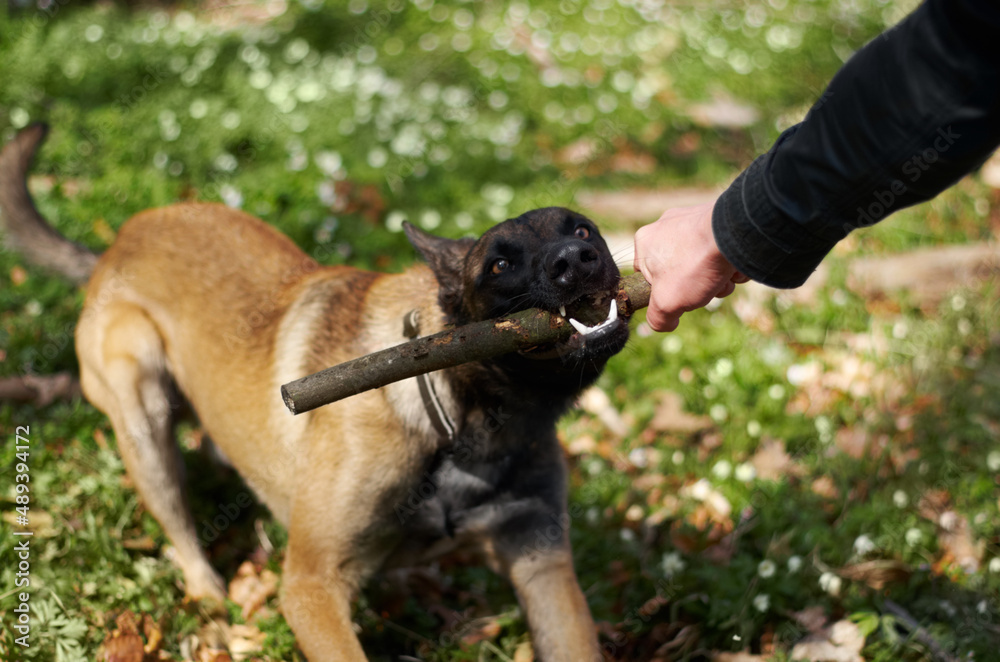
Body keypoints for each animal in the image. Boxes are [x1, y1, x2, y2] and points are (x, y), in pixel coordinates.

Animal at [0, 123, 628, 660]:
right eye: (499, 265)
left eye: (582, 229)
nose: (578, 260)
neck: (455, 416)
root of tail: (112, 249)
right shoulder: (312, 586)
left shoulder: (543, 566)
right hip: (141, 400)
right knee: (180, 526)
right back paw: (210, 599)